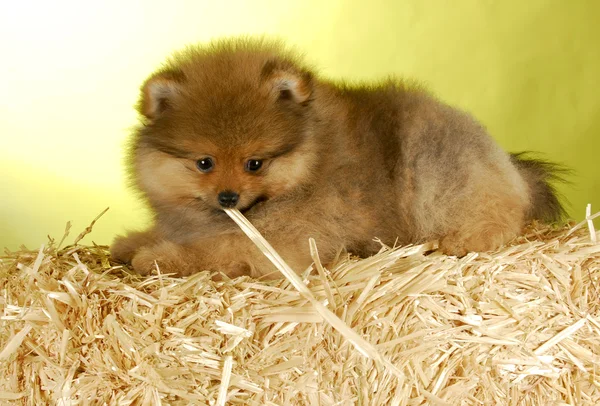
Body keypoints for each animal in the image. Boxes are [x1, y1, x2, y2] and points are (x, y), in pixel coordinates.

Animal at [110, 37, 564, 280]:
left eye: (255, 164)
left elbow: (213, 252)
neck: (308, 163)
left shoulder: (281, 245)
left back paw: (458, 241)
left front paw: (157, 256)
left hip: (442, 170)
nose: (228, 197)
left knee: (496, 217)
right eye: (204, 163)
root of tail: (506, 163)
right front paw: (131, 241)